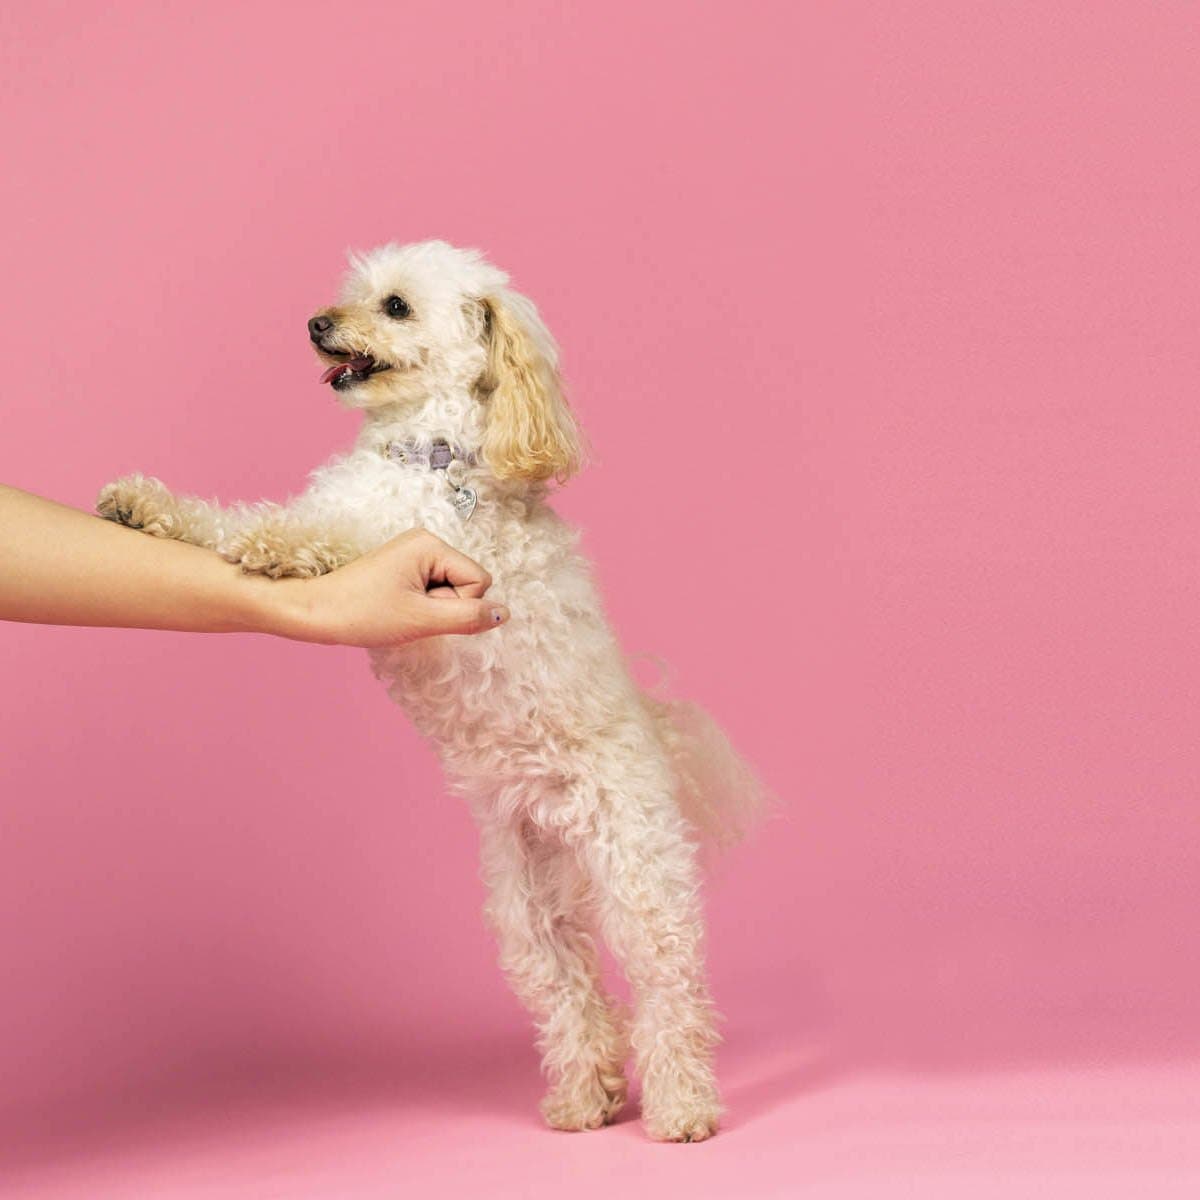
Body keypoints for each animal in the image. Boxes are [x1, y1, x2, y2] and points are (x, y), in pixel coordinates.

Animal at [100, 236, 758, 1142]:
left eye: (397, 306)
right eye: (349, 294)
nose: (315, 324)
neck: (422, 451)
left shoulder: (415, 544)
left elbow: (318, 535)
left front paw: (277, 545)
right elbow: (225, 519)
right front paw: (144, 506)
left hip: (636, 870)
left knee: (669, 990)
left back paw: (683, 1106)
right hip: (526, 906)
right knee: (572, 993)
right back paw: (584, 1101)